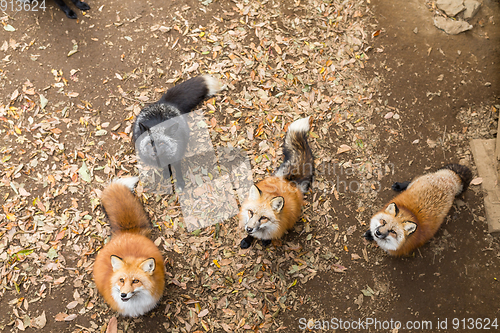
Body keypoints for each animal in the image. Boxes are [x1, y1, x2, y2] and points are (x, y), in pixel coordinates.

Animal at [238, 115, 312, 248]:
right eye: (250, 212)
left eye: (263, 218)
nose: (249, 229)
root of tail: (286, 180)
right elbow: (251, 236)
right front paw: (247, 239)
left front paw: (265, 240)